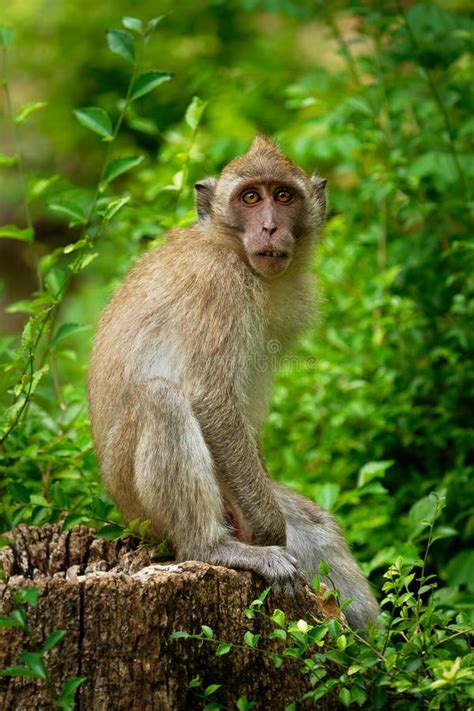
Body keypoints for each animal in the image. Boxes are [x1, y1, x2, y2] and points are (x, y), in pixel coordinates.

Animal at [87, 138, 380, 628]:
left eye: (283, 196)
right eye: (250, 198)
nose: (269, 227)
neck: (231, 247)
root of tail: (122, 515)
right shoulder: (219, 283)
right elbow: (210, 401)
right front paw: (267, 534)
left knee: (317, 526)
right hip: (139, 508)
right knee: (161, 400)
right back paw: (213, 547)